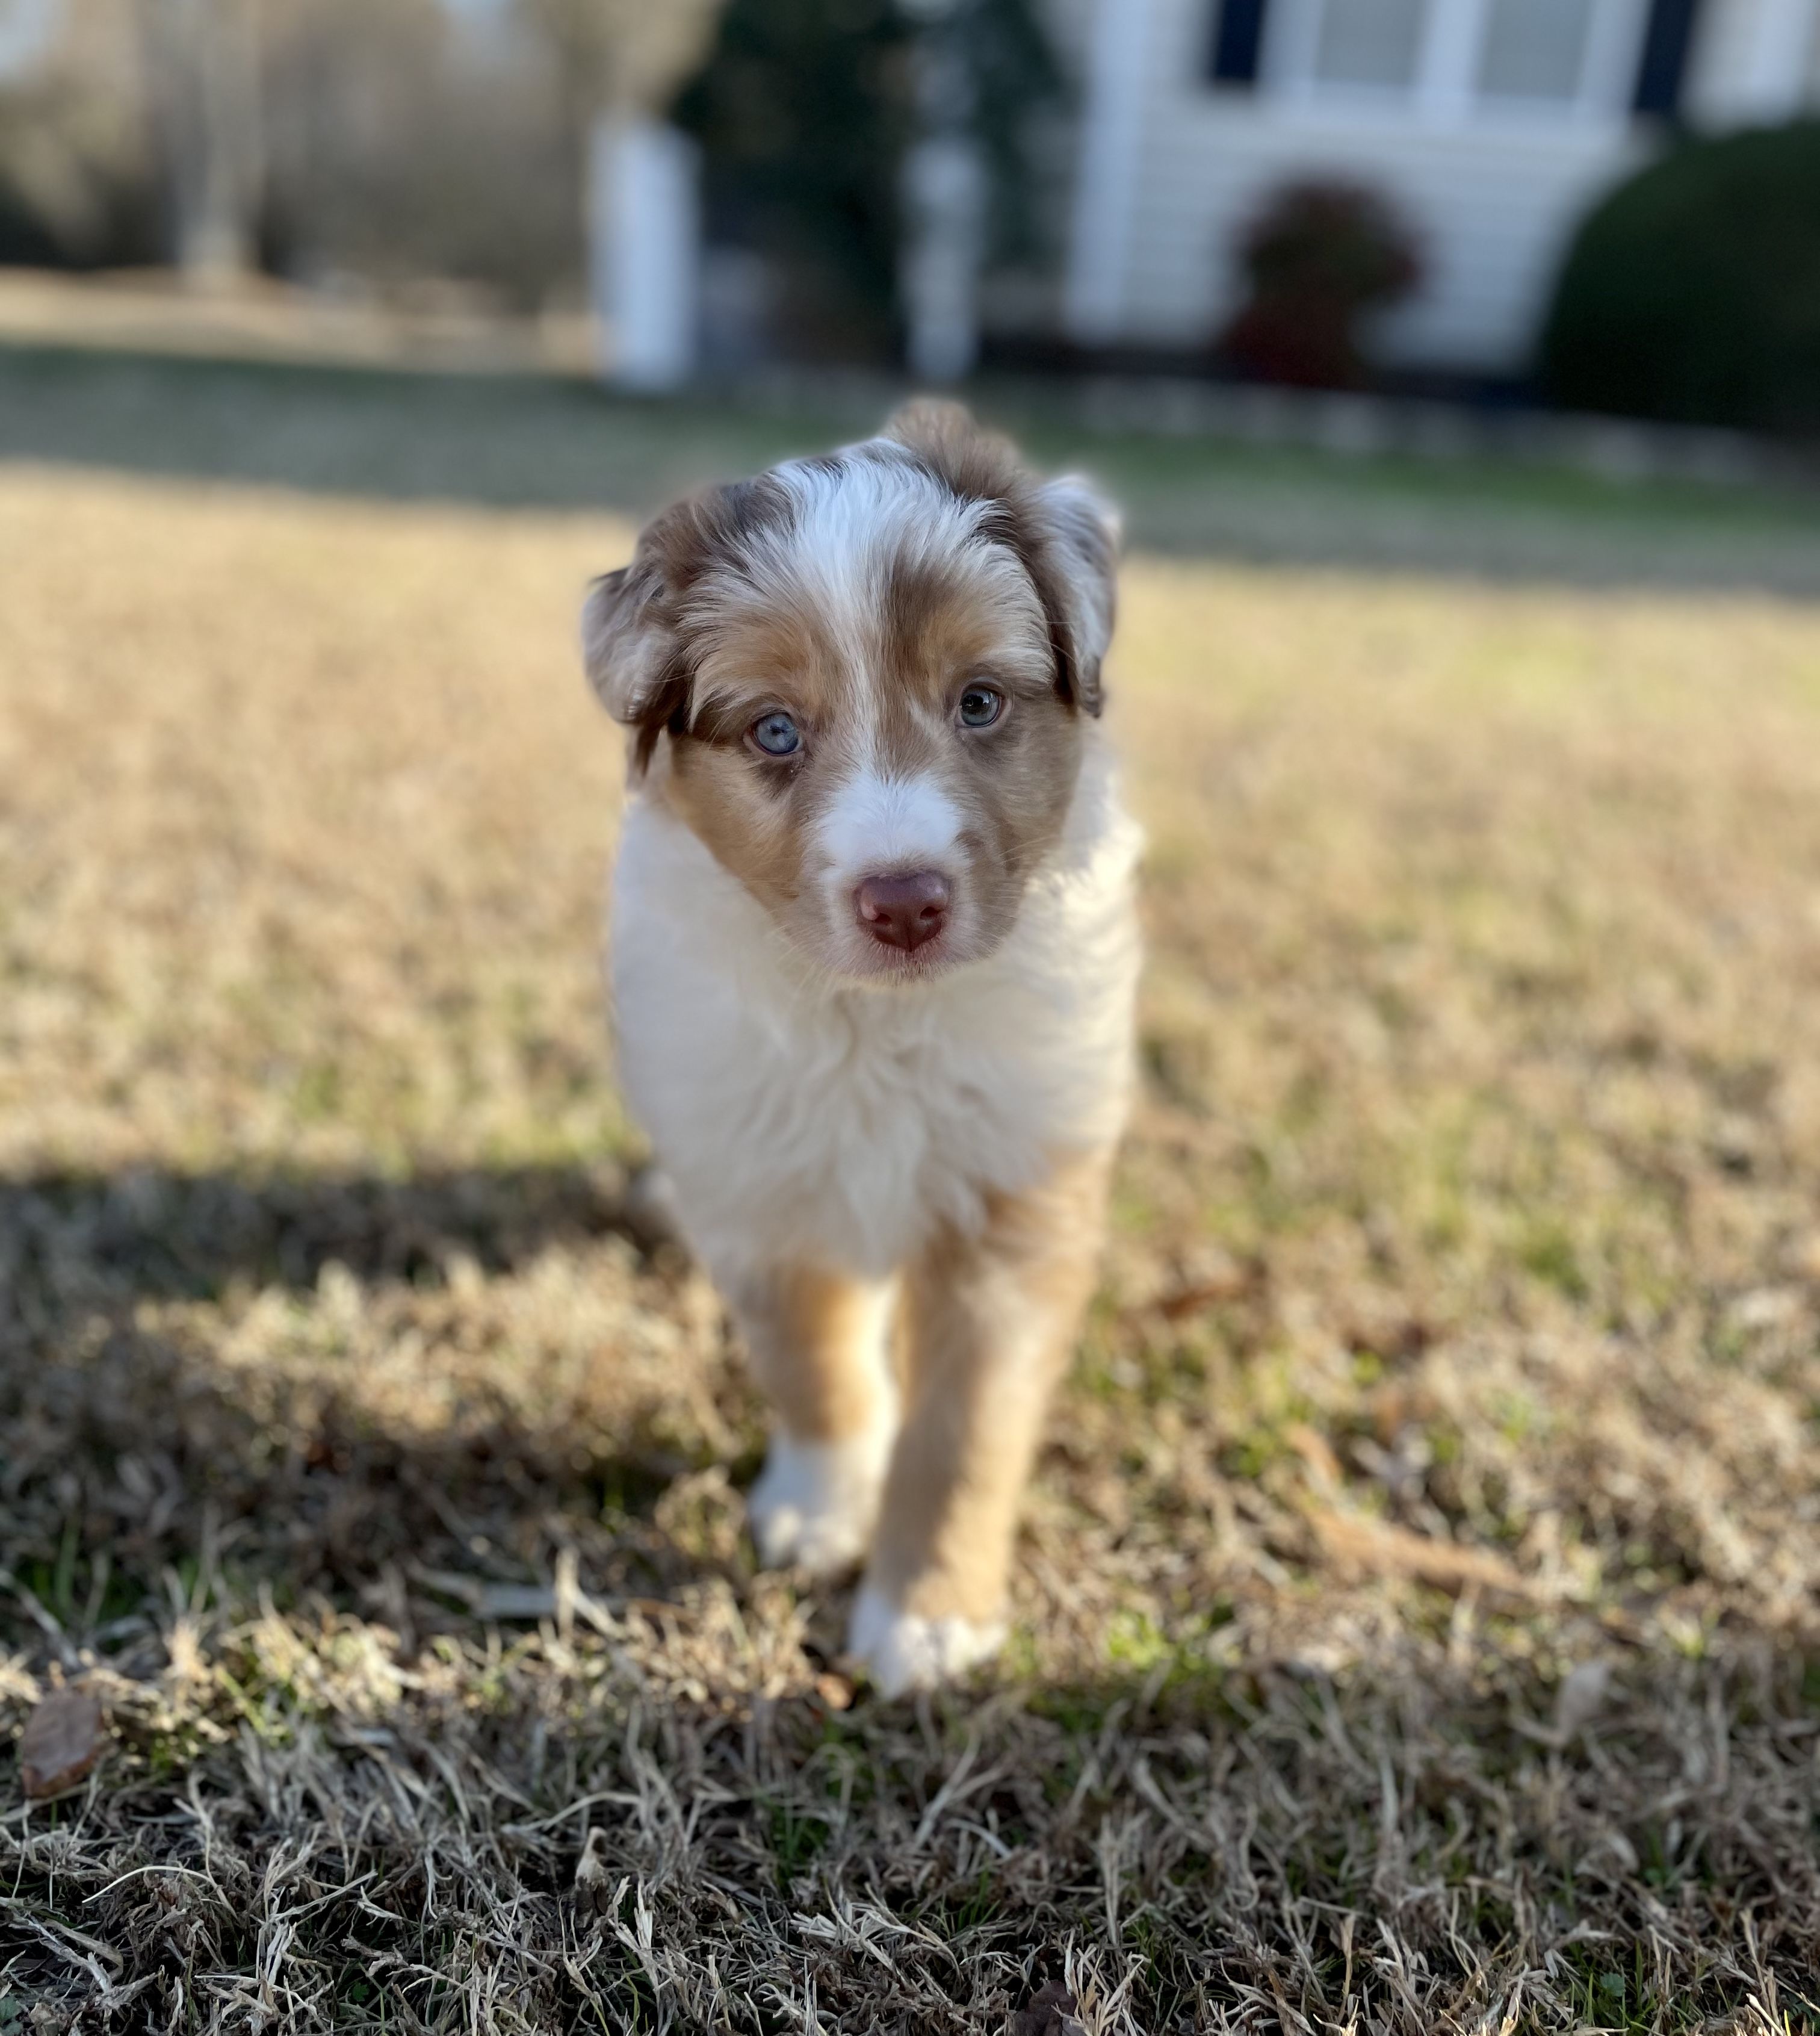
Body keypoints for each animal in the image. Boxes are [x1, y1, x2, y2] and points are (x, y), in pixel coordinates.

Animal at [586, 405, 1140, 1693]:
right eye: (775, 730)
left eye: (978, 703)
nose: (903, 902)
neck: (876, 1022)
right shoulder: (757, 1179)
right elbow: (810, 1359)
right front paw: (819, 1511)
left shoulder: (1013, 1196)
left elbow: (964, 1428)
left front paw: (926, 1616)